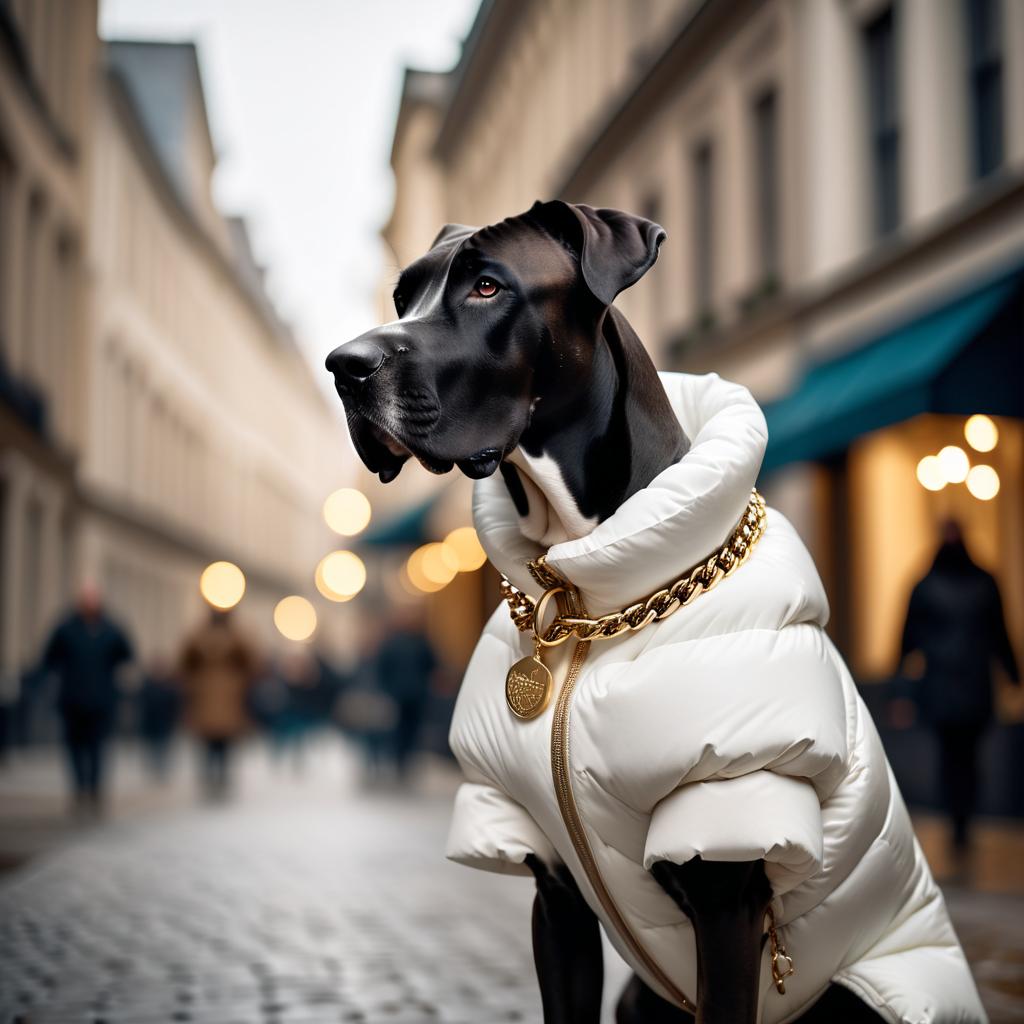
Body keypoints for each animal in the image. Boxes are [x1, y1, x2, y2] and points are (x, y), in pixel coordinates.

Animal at [325, 199, 880, 1024]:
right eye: (403, 296)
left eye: (488, 287)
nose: (343, 365)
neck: (583, 598)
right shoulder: (555, 896)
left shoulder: (727, 895)